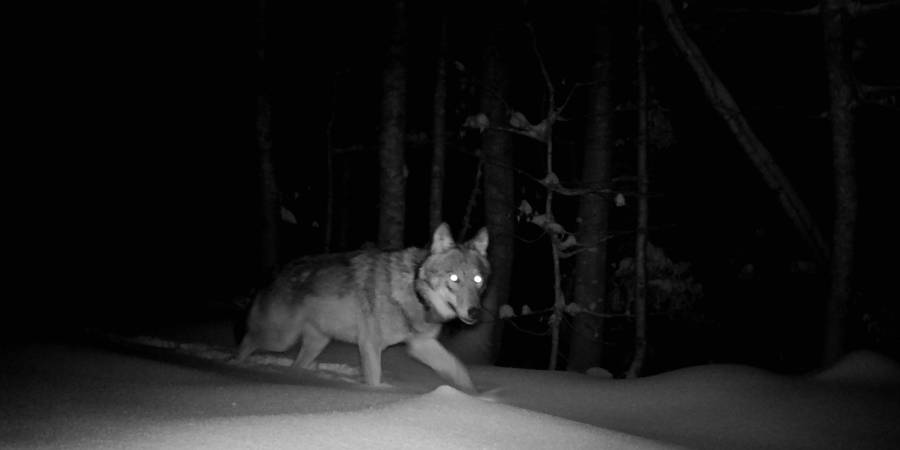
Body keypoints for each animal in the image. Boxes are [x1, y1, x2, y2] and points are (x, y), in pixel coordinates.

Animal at [236, 223, 488, 392]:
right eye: (454, 278)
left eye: (478, 280)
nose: (475, 312)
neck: (413, 289)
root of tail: (275, 273)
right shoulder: (370, 345)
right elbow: (374, 380)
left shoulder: (421, 345)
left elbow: (459, 368)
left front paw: (477, 398)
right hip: (281, 339)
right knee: (247, 341)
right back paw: (235, 365)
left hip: (317, 342)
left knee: (295, 365)